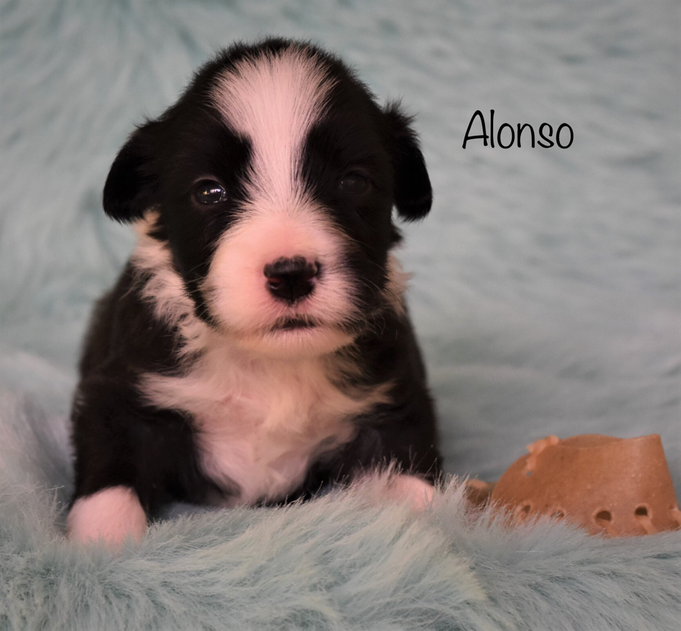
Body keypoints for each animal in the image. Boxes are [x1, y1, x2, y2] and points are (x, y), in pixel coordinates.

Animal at [67, 38, 440, 548]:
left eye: (353, 181)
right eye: (209, 191)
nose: (291, 274)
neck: (270, 365)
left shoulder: (391, 400)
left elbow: (406, 470)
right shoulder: (125, 387)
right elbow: (110, 471)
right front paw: (99, 544)